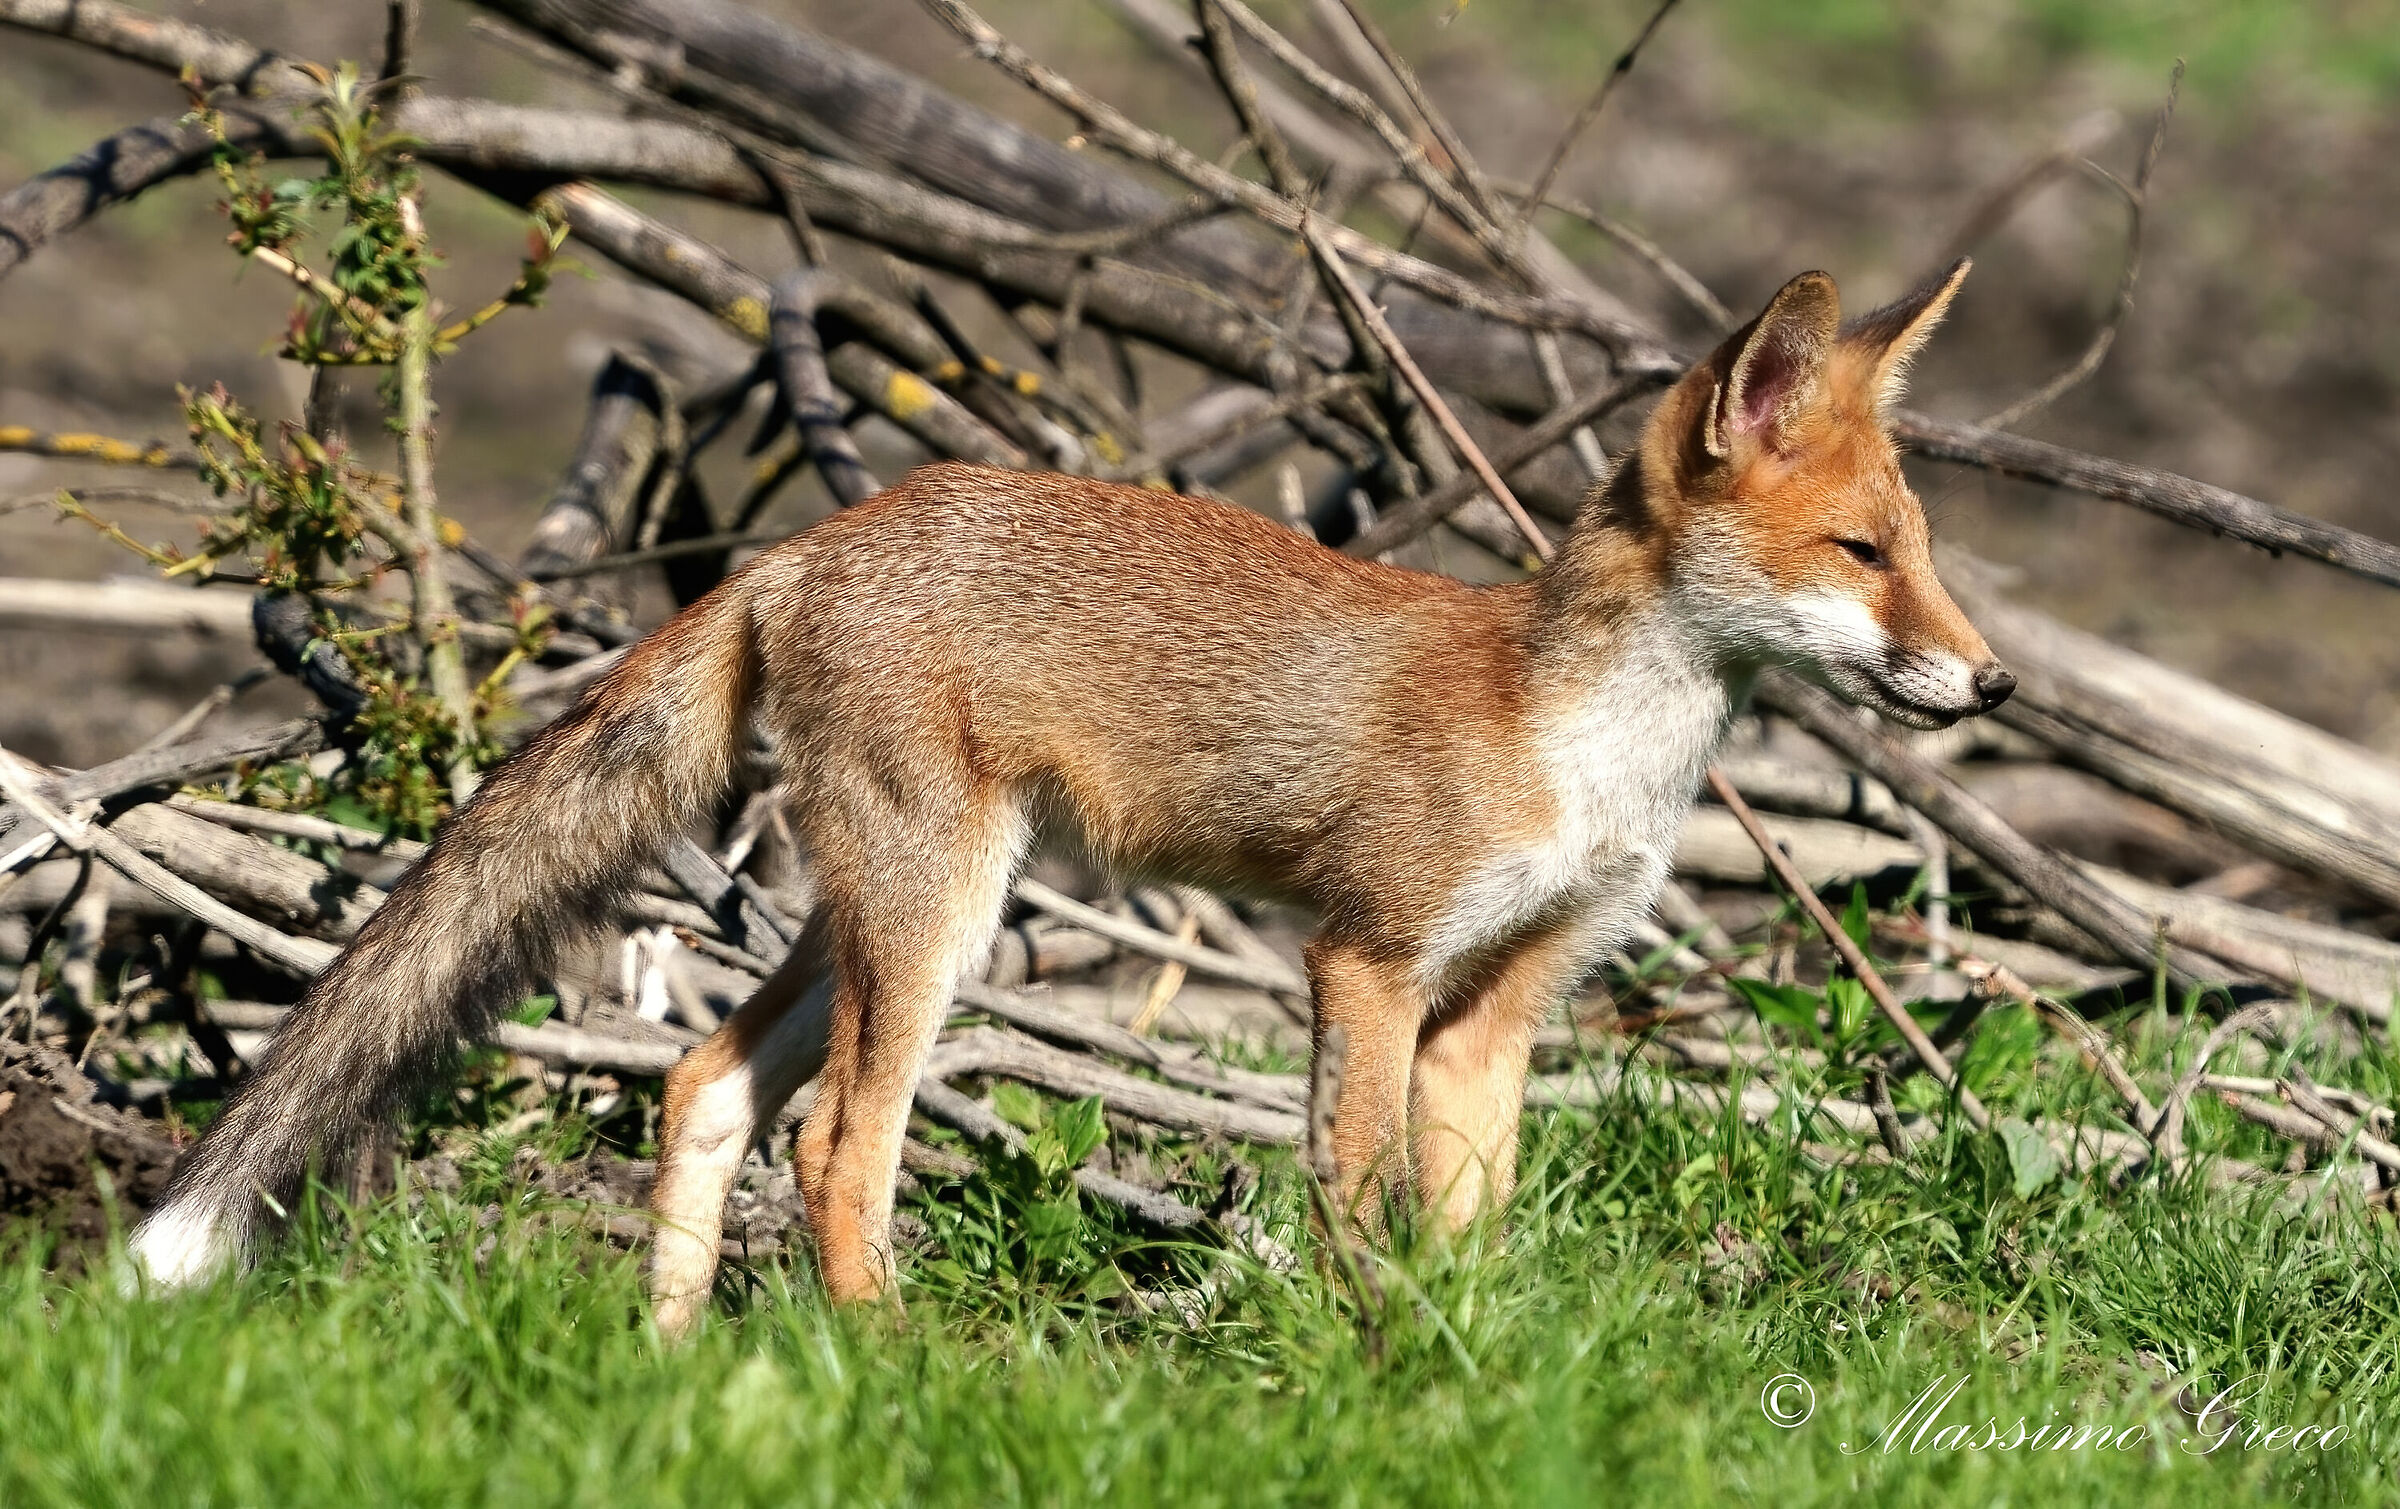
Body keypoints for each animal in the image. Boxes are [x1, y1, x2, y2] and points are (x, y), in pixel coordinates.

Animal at [129, 262, 2012, 1330]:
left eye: (1925, 552)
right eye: (1862, 554)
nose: (1995, 682)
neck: (1578, 735)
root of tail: (813, 538)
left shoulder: (1501, 1007)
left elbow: (1468, 1228)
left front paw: (1473, 1377)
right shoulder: (1368, 957)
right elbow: (1356, 1200)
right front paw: (1367, 1366)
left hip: (871, 912)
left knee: (705, 1084)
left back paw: (673, 1370)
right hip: (939, 917)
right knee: (835, 1145)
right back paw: (893, 1368)